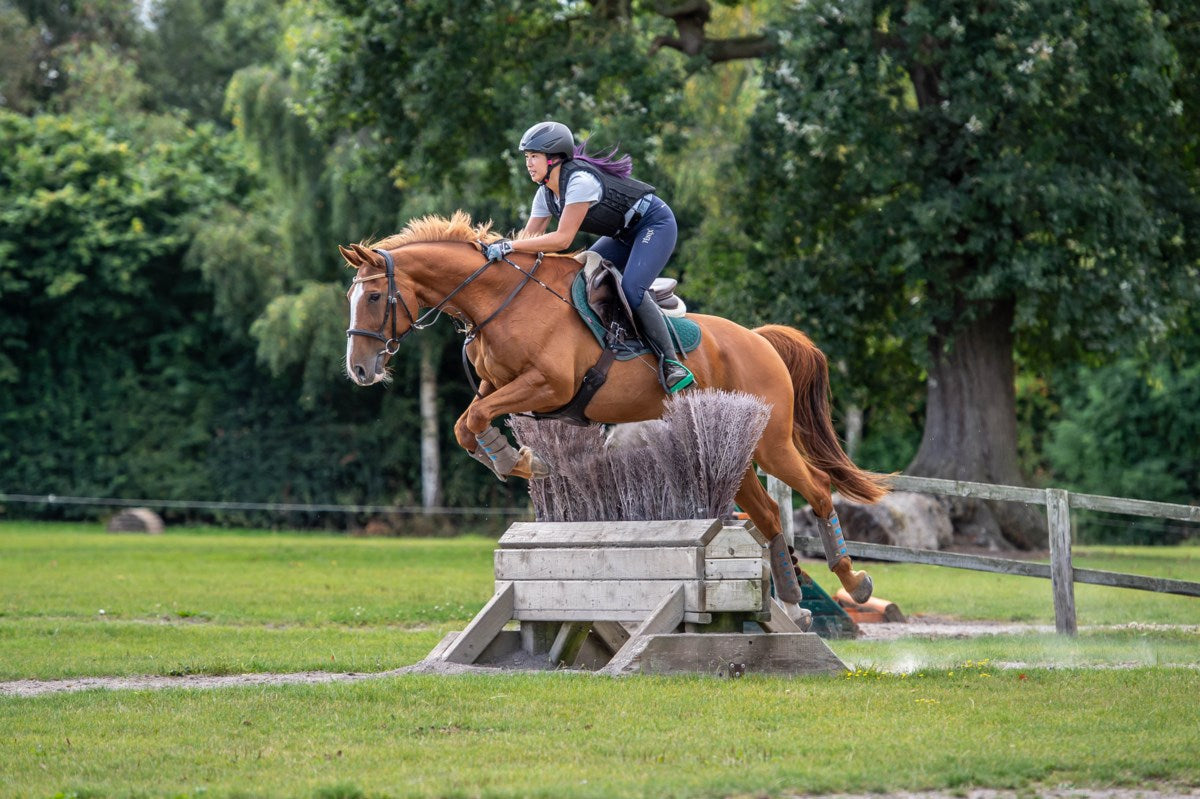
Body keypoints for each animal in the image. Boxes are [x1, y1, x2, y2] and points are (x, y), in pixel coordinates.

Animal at [343, 211, 888, 604]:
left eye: (373, 296)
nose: (360, 371)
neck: (502, 301)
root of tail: (758, 339)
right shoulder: (495, 386)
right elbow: (465, 424)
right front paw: (512, 458)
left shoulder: (548, 386)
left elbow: (475, 420)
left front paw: (522, 461)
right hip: (739, 445)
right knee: (772, 513)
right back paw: (794, 595)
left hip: (772, 442)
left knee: (817, 490)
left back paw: (853, 581)